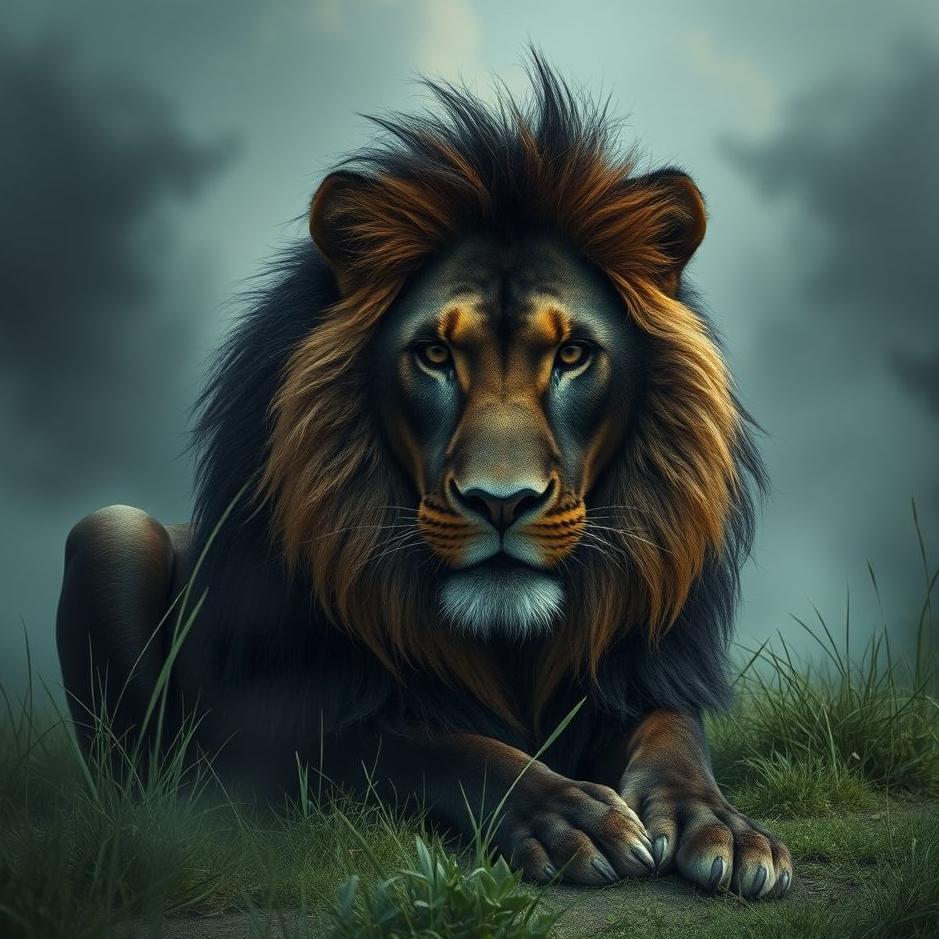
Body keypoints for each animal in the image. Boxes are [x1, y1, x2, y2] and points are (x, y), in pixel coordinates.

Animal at [56, 57, 791, 898]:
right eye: (435, 354)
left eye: (571, 354)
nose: (501, 502)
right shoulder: (279, 732)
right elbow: (428, 746)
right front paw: (568, 818)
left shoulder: (633, 675)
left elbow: (674, 738)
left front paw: (725, 828)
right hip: (110, 533)